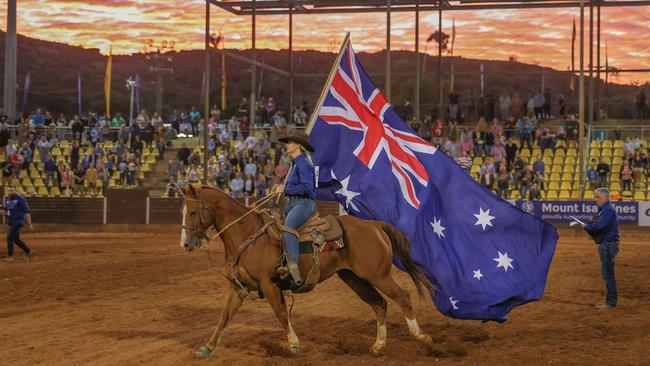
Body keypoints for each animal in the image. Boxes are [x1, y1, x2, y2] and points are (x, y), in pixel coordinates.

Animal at [177, 184, 432, 356]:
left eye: (193, 212)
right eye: (183, 211)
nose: (186, 244)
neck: (247, 234)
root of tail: (374, 224)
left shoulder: (270, 284)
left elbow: (281, 314)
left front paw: (293, 343)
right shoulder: (237, 288)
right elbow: (224, 317)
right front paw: (207, 347)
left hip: (378, 275)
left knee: (403, 296)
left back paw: (422, 337)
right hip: (354, 278)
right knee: (380, 304)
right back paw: (378, 345)